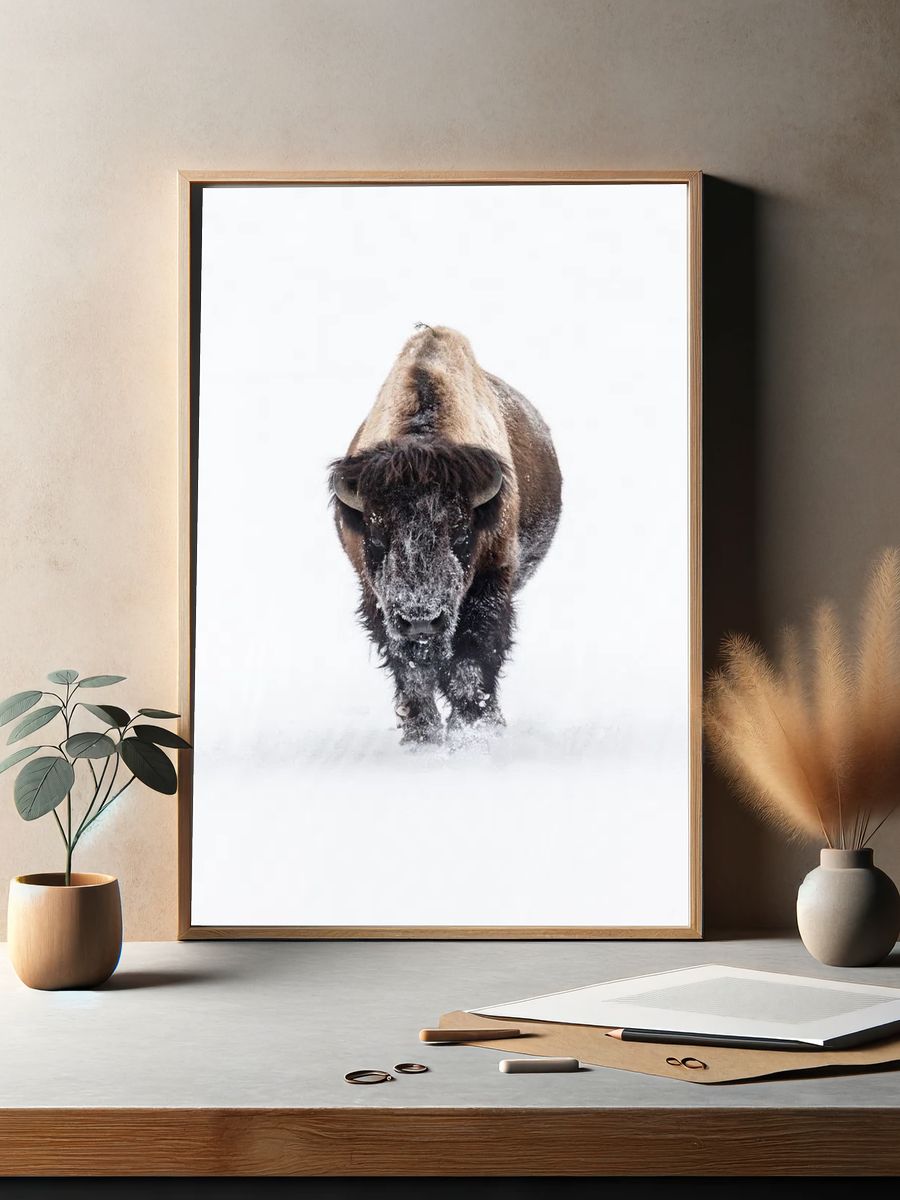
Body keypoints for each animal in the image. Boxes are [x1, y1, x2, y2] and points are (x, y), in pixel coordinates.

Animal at [330, 325, 562, 745]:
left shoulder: (490, 583)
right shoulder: (378, 599)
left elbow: (472, 658)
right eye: (377, 535)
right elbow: (412, 669)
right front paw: (421, 734)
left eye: (460, 533)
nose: (421, 619)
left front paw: (471, 730)